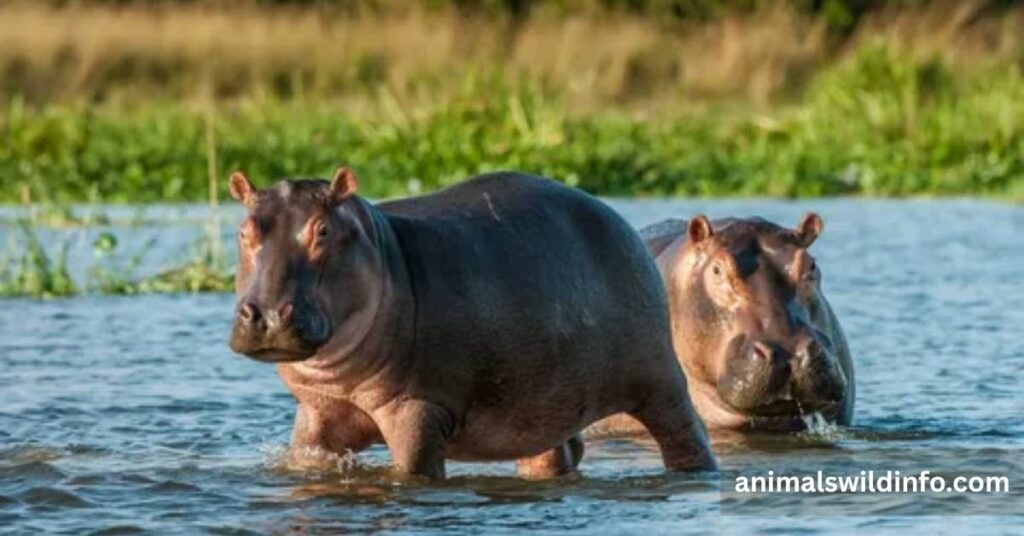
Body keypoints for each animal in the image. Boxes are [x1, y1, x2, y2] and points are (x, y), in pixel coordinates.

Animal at [226, 168, 715, 479]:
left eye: (323, 230)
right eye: (244, 231)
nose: (267, 315)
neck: (382, 251)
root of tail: (619, 220)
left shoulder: (417, 408)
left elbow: (415, 472)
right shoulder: (318, 412)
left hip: (660, 382)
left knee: (685, 434)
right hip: (541, 403)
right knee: (554, 452)